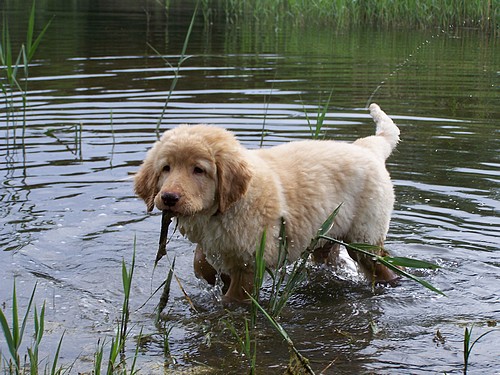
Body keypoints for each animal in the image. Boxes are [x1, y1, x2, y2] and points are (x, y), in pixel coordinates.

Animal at [135, 104, 400, 304]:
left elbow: (234, 297)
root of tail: (367, 147)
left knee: (381, 265)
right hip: (326, 235)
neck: (227, 208)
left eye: (198, 170)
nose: (169, 198)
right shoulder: (215, 242)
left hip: (364, 236)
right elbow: (201, 262)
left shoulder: (250, 262)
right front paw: (212, 275)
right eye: (166, 168)